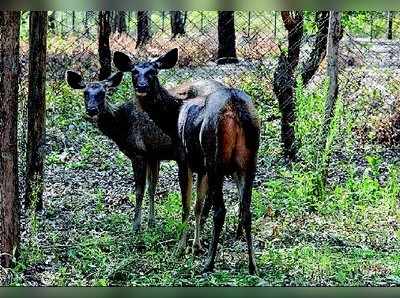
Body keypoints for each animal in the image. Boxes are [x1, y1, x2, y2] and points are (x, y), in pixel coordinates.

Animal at [114, 47, 260, 274]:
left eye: (154, 71)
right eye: (134, 71)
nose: (141, 86)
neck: (171, 118)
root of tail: (234, 105)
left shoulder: (184, 159)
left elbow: (186, 205)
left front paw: (180, 249)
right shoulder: (201, 168)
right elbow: (198, 205)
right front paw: (195, 246)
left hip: (215, 158)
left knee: (221, 210)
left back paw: (209, 264)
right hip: (248, 162)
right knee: (246, 210)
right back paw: (252, 265)